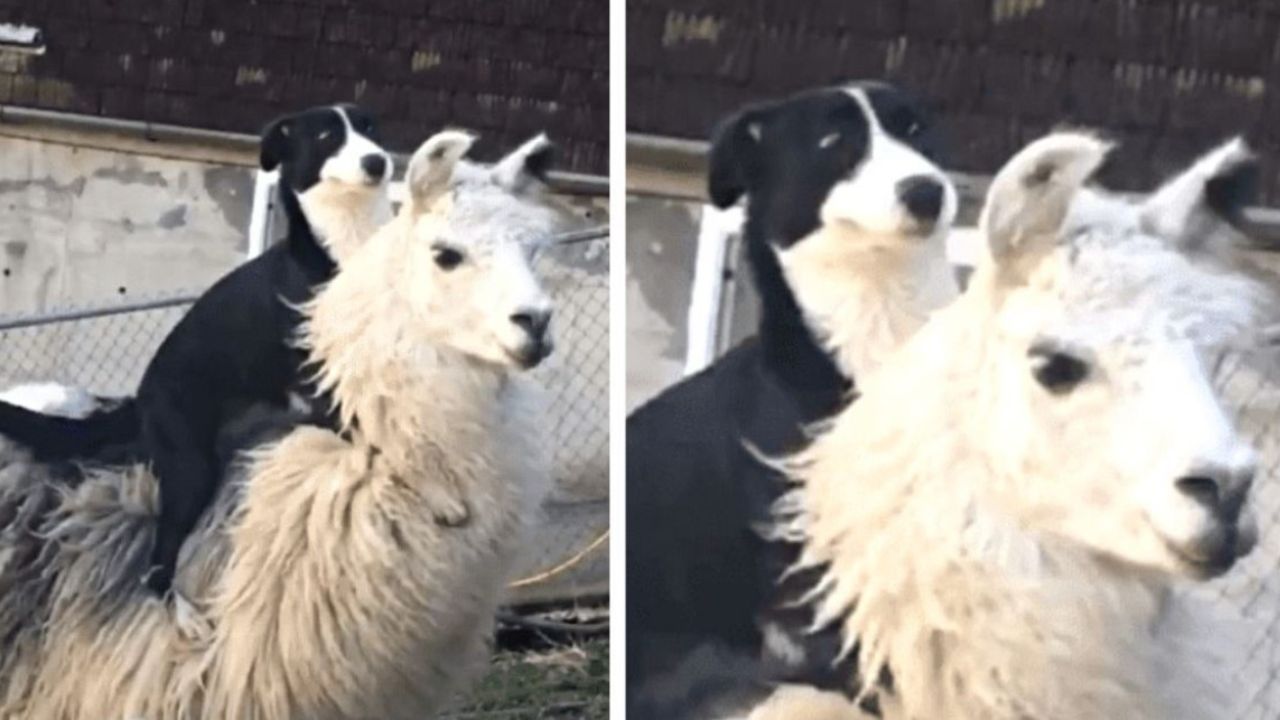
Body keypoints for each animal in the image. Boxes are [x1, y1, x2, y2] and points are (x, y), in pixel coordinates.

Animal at [0, 102, 391, 594]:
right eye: (326, 136)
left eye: (370, 128)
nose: (378, 161)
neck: (346, 240)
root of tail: (143, 397)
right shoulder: (315, 369)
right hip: (189, 467)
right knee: (160, 557)